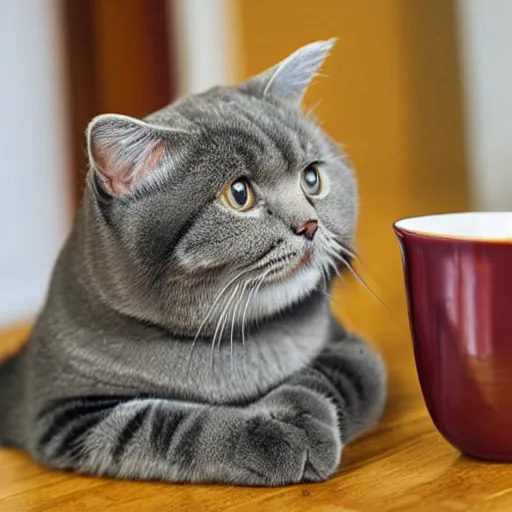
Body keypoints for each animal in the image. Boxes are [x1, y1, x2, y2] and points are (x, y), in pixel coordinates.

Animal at [0, 39, 386, 484]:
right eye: (239, 194)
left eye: (312, 178)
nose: (309, 224)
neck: (238, 339)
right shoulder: (65, 414)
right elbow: (168, 426)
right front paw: (270, 436)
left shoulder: (353, 350)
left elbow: (322, 375)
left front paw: (300, 417)